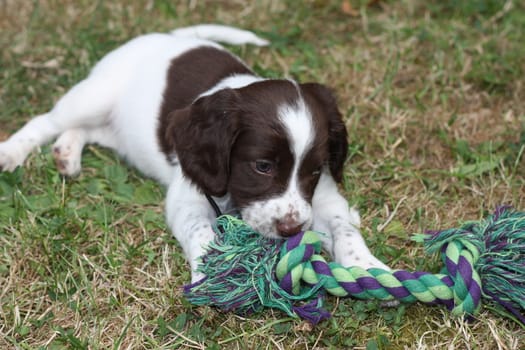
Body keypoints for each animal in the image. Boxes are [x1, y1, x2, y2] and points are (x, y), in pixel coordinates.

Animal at [1, 23, 388, 282]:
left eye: (314, 170)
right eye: (262, 166)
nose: (291, 230)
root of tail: (170, 37)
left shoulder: (324, 197)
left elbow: (344, 227)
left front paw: (367, 266)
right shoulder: (187, 199)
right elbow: (202, 233)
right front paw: (212, 273)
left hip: (117, 128)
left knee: (86, 131)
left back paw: (67, 153)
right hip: (93, 96)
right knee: (47, 120)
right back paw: (13, 152)